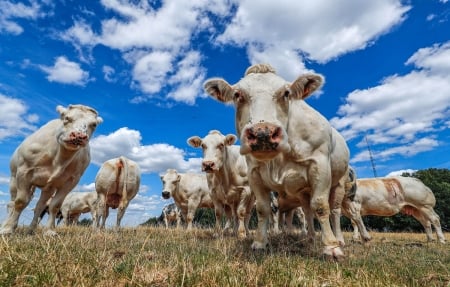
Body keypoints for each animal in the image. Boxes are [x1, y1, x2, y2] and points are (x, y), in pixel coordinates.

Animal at [0, 104, 103, 235]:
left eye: (93, 124)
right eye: (67, 118)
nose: (79, 136)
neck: (60, 157)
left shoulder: (70, 182)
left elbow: (55, 205)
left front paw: (49, 231)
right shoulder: (24, 172)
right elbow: (20, 202)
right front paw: (8, 229)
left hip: (48, 188)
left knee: (39, 207)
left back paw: (31, 229)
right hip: (14, 178)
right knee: (12, 203)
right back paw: (6, 225)